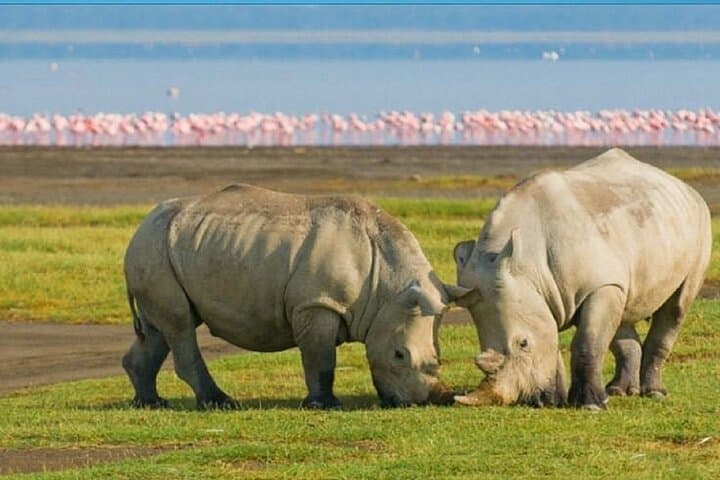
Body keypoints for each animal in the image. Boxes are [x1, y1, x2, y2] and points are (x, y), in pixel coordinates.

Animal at [122, 184, 462, 409]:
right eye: (399, 355)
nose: (433, 399)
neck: (388, 284)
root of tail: (140, 226)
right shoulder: (317, 303)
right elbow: (320, 357)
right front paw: (325, 406)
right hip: (153, 247)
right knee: (179, 325)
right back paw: (220, 403)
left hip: (162, 249)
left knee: (160, 328)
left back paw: (151, 403)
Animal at [452, 148, 712, 409]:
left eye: (523, 343)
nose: (532, 401)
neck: (527, 264)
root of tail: (682, 186)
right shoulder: (543, 294)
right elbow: (554, 340)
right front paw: (557, 400)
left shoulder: (599, 284)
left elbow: (587, 342)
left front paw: (590, 406)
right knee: (623, 311)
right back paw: (618, 391)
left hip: (700, 222)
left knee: (676, 307)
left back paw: (654, 393)